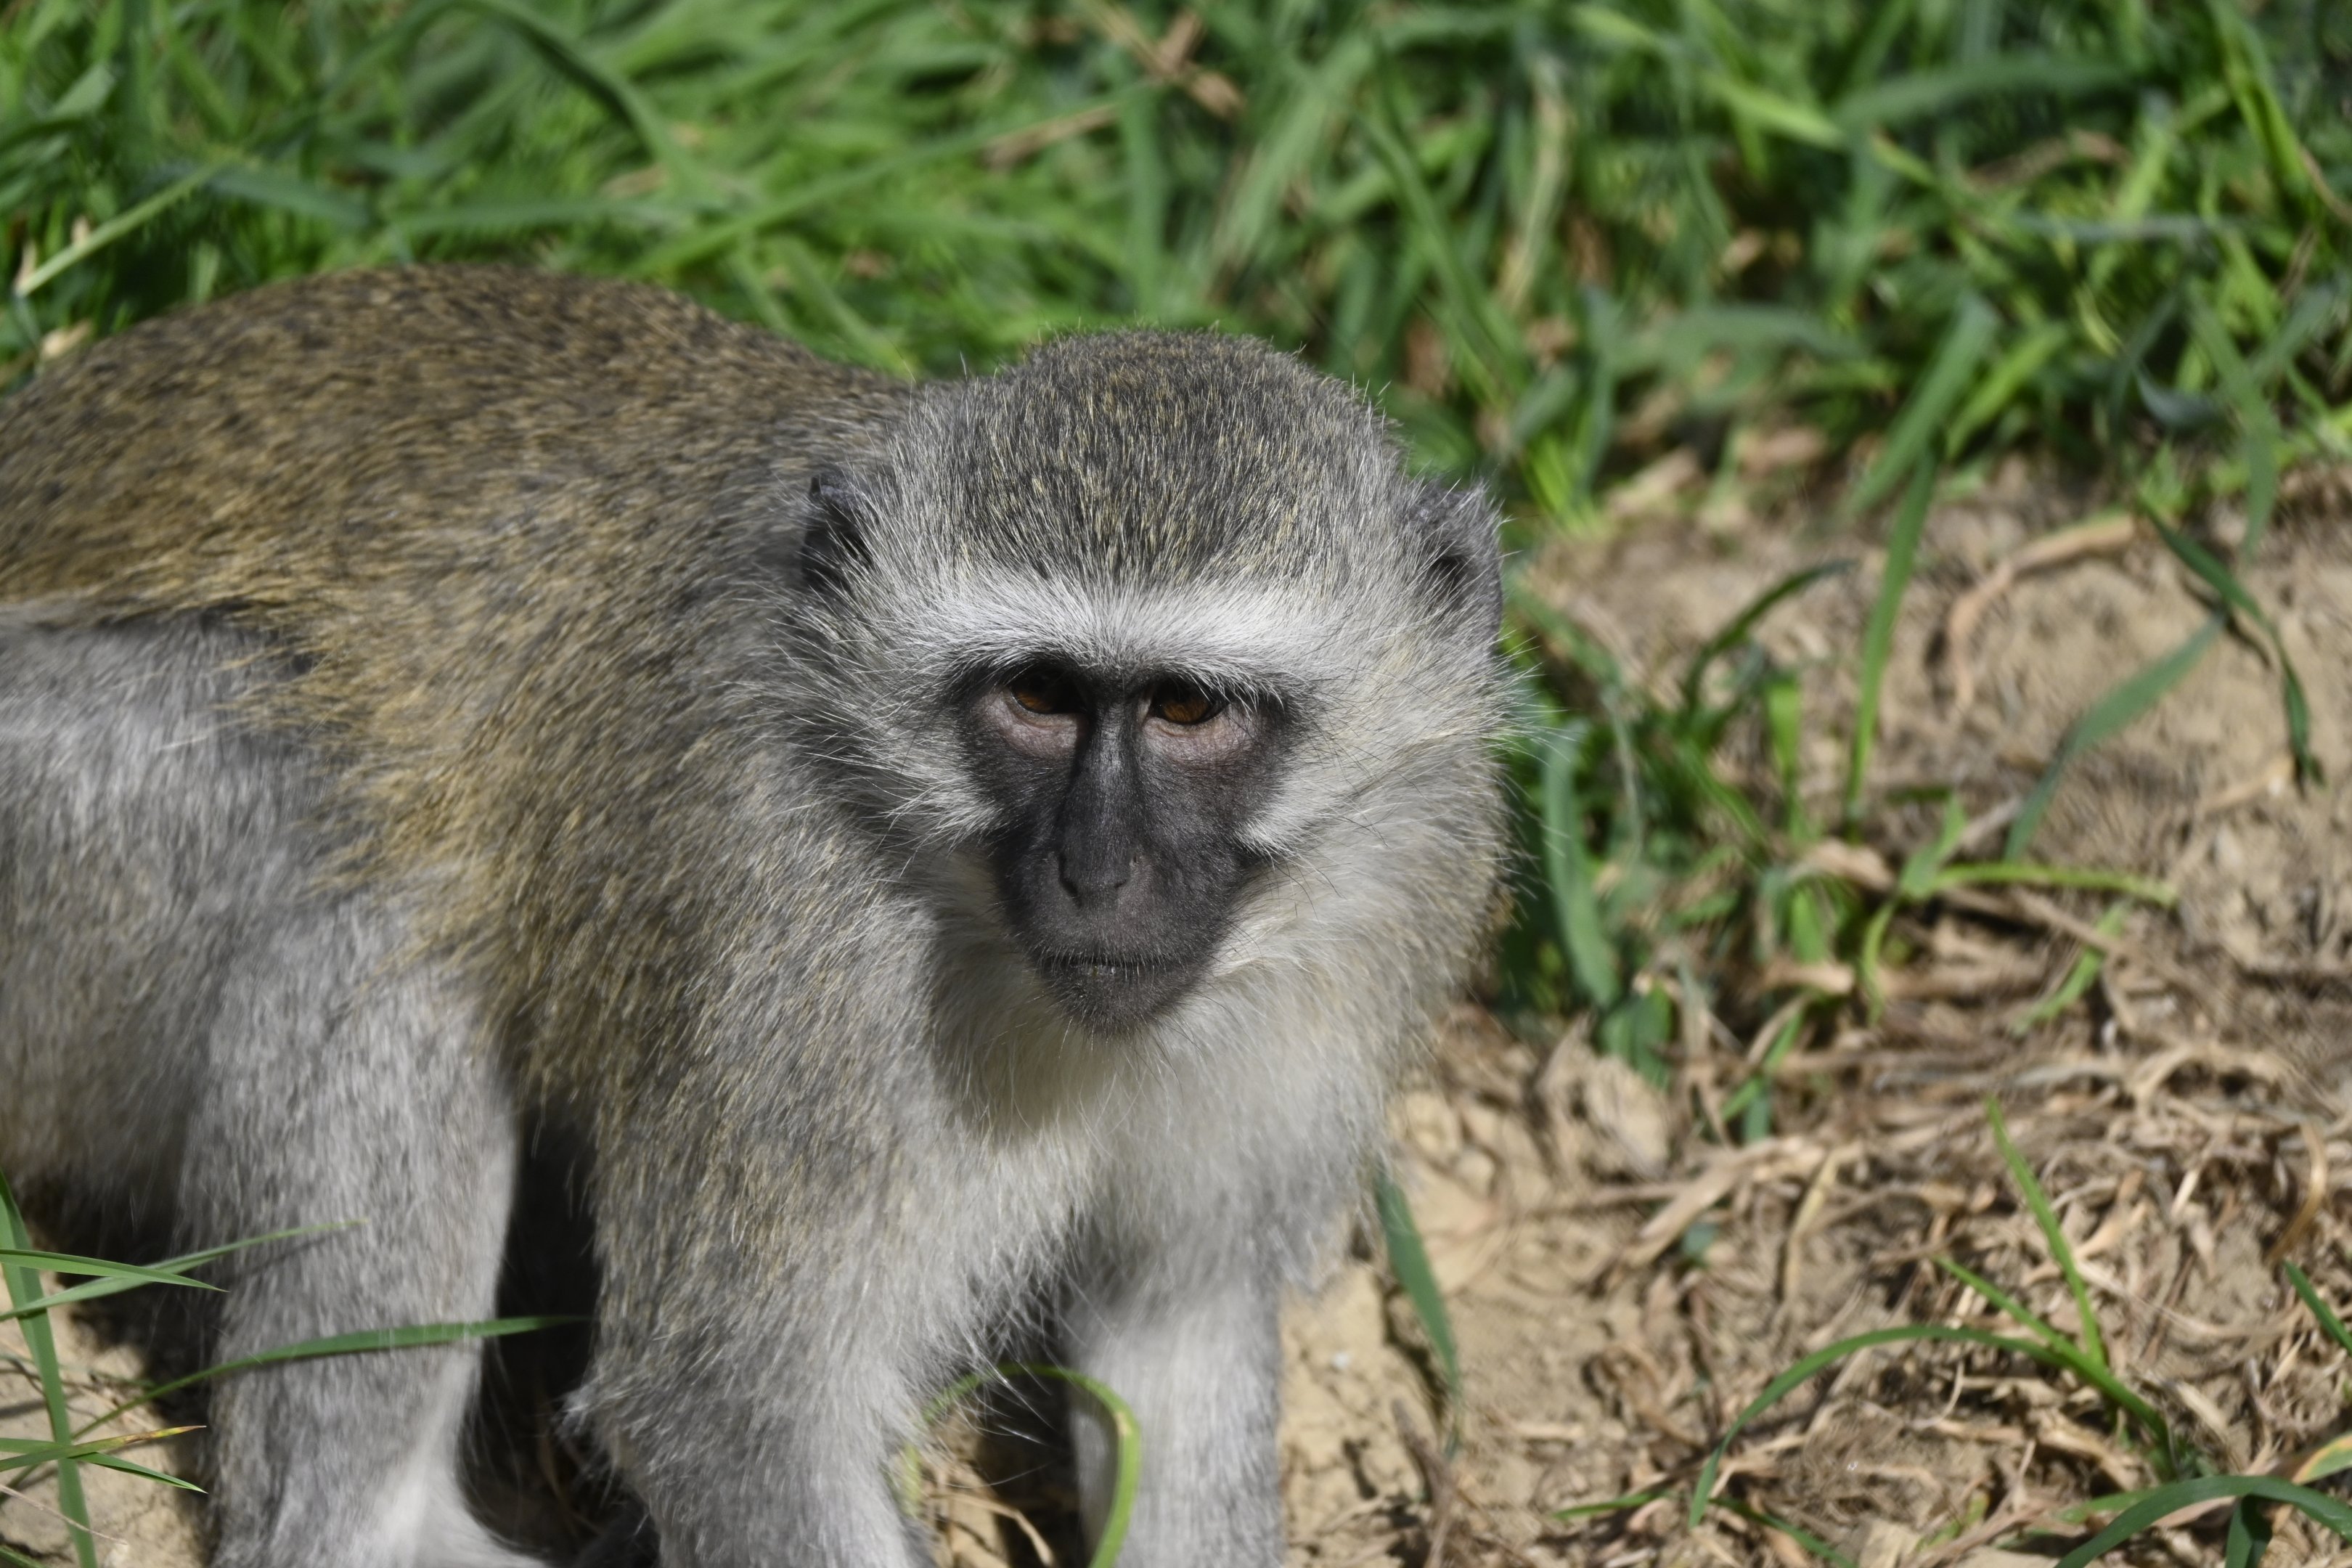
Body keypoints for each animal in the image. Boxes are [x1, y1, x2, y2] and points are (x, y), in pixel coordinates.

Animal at [0, 266, 1506, 1567]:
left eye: (1188, 710)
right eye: (1037, 698)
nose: (1098, 868)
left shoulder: (1375, 922)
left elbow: (1172, 1335)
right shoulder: (793, 961)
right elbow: (727, 1414)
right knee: (370, 893)